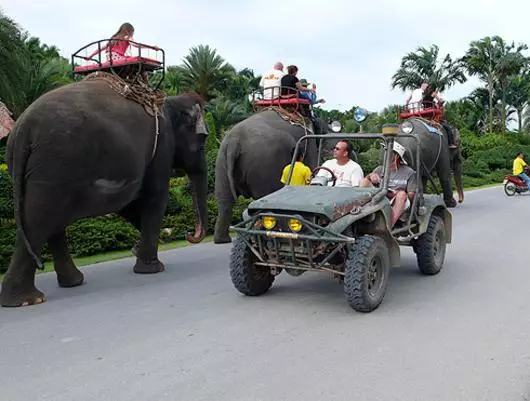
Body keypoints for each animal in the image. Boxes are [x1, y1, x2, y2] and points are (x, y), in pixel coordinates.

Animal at [0, 75, 208, 306]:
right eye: (202, 141)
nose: (189, 234)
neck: (169, 101)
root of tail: (23, 130)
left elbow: (130, 204)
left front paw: (139, 248)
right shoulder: (162, 145)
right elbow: (153, 197)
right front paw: (152, 267)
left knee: (49, 220)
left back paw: (71, 282)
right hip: (56, 164)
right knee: (40, 219)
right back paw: (26, 299)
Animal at [211, 108, 330, 242]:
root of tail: (234, 140)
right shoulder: (310, 146)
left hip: (222, 159)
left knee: (224, 199)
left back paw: (222, 240)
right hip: (264, 164)